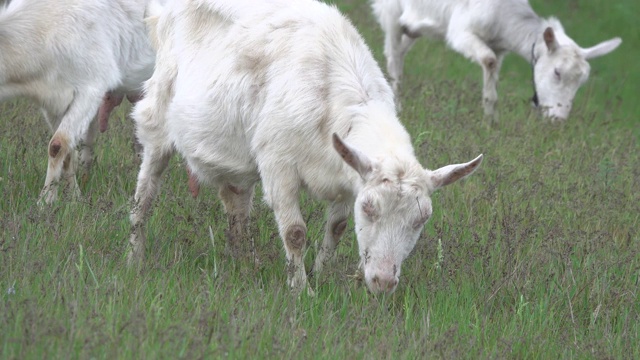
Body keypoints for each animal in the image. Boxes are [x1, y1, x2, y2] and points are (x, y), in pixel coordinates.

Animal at [0, 0, 158, 202]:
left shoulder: (91, 88)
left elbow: (58, 144)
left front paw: (45, 200)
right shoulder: (52, 103)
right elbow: (68, 148)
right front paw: (74, 197)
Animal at [134, 0, 484, 294]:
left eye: (421, 219)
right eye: (369, 208)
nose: (383, 281)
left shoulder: (348, 176)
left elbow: (338, 227)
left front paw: (321, 275)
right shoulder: (278, 165)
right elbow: (295, 232)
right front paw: (302, 289)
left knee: (236, 206)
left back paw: (244, 264)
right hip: (157, 116)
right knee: (145, 193)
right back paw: (134, 256)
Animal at [372, 0, 624, 121]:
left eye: (581, 82)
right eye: (557, 72)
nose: (558, 118)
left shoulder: (500, 48)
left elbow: (493, 72)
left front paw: (491, 121)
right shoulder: (460, 32)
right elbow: (488, 60)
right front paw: (491, 118)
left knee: (400, 50)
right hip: (391, 11)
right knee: (393, 57)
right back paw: (396, 105)